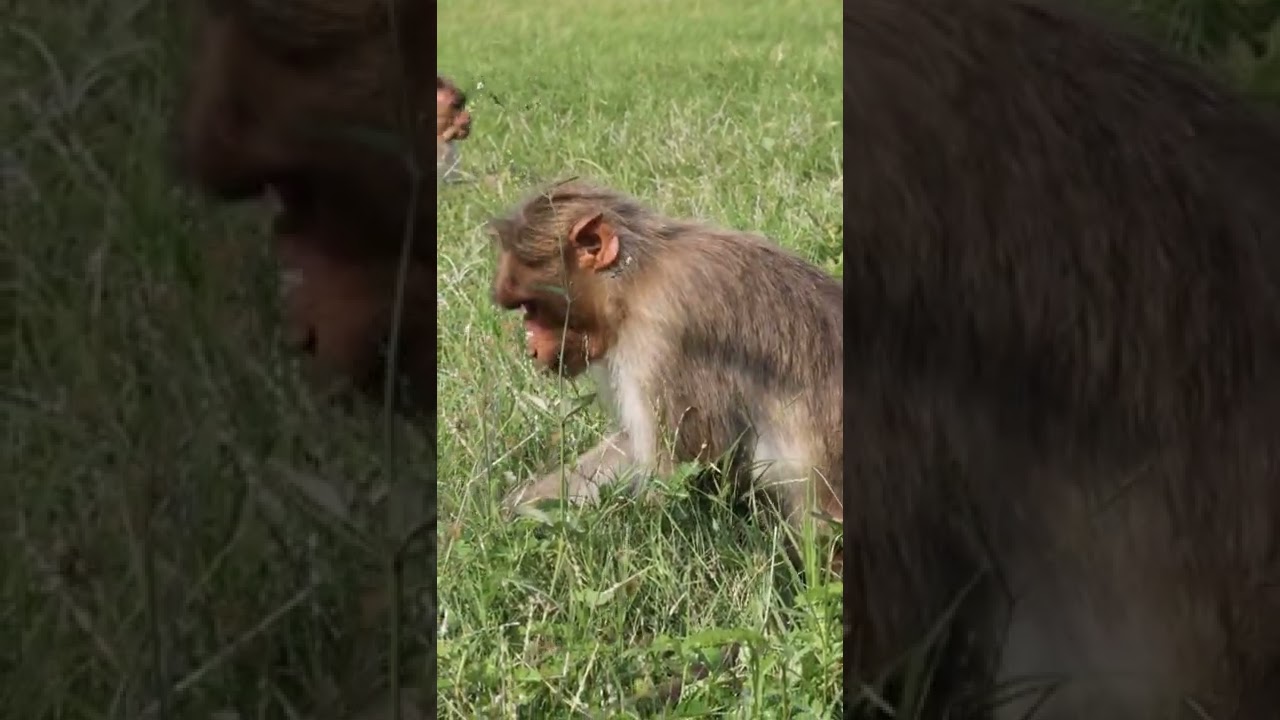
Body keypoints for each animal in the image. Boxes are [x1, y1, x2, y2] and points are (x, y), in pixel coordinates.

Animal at [488, 179, 844, 559]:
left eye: (533, 306)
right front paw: (517, 512)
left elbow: (685, 468)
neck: (632, 284)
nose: (531, 349)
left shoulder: (663, 333)